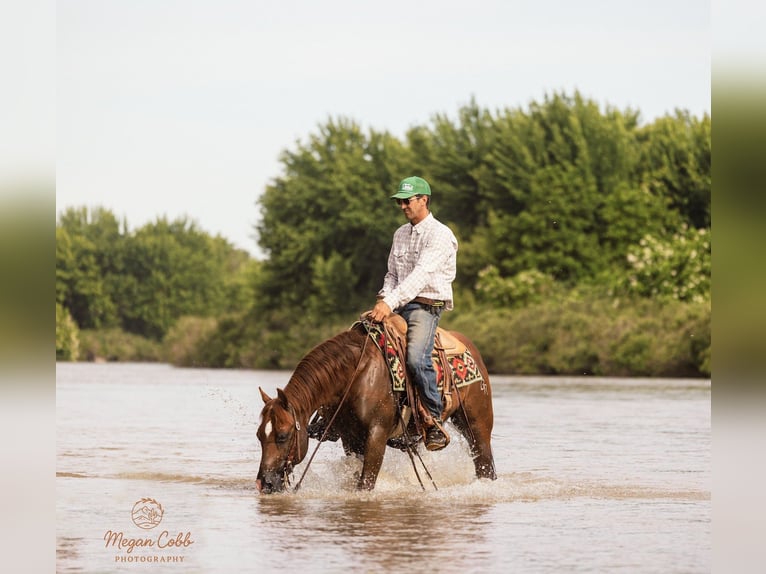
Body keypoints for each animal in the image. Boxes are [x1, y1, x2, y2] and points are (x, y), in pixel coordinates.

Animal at [255, 316, 496, 493]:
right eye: (259, 435)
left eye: (283, 435)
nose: (264, 483)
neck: (356, 374)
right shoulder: (350, 438)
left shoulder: (377, 434)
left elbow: (366, 483)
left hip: (477, 427)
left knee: (485, 467)